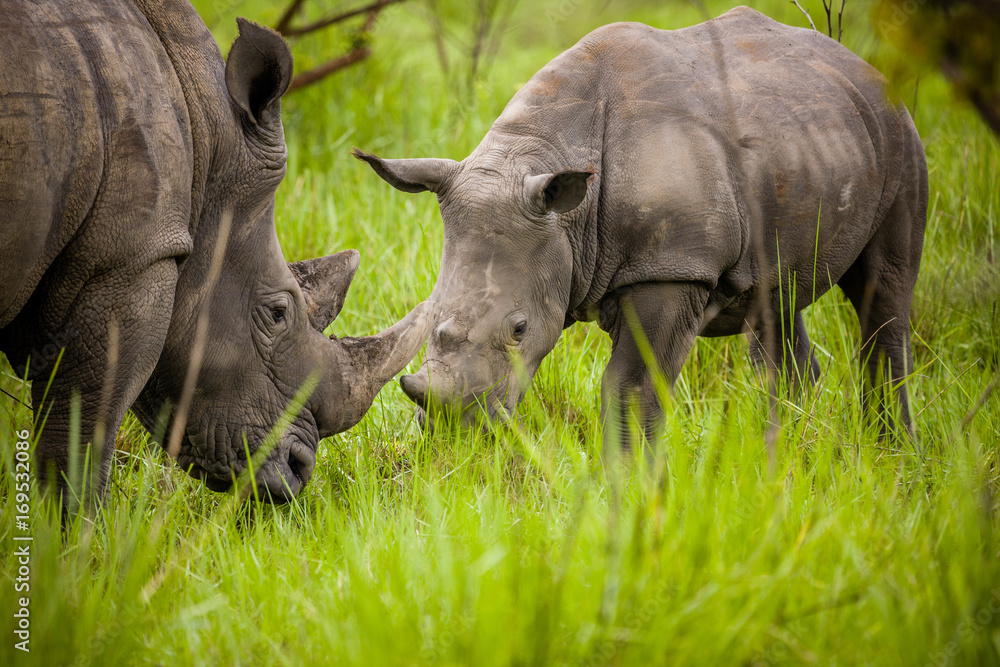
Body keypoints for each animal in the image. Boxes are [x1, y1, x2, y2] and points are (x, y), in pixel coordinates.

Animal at [0, 0, 433, 503]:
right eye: (278, 314)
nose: (298, 470)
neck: (208, 141)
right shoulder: (131, 259)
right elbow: (80, 441)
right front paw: (69, 527)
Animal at [356, 7, 927, 447]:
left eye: (520, 329)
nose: (455, 430)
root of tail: (860, 64)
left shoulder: (673, 268)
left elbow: (630, 389)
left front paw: (630, 490)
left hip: (900, 135)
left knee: (884, 293)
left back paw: (891, 454)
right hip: (809, 137)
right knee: (777, 298)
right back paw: (783, 458)